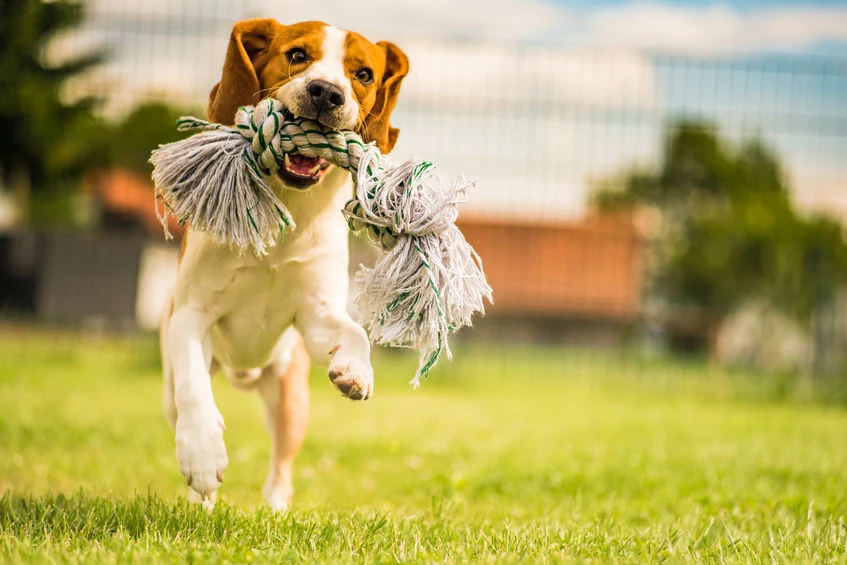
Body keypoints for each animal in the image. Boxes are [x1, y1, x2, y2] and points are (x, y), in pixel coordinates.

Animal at [161, 19, 410, 508]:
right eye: (297, 55)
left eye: (364, 74)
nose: (326, 92)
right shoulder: (191, 313)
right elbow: (195, 390)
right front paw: (202, 454)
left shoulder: (314, 315)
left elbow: (354, 332)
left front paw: (356, 369)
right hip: (172, 391)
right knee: (186, 400)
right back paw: (201, 501)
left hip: (290, 399)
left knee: (281, 466)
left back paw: (276, 510)